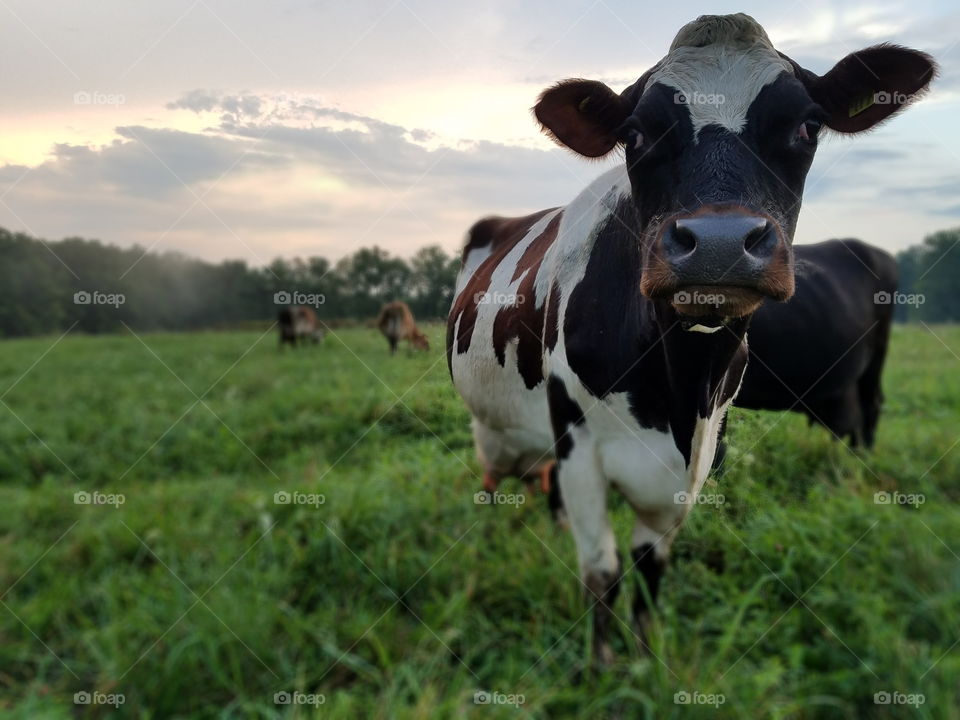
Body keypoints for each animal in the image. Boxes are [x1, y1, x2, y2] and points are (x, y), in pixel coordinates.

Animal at [446, 13, 934, 664]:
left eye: (807, 125)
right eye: (636, 133)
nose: (719, 244)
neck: (678, 390)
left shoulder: (695, 460)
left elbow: (649, 569)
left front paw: (644, 658)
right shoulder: (578, 446)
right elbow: (601, 570)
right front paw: (600, 669)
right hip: (494, 430)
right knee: (495, 481)